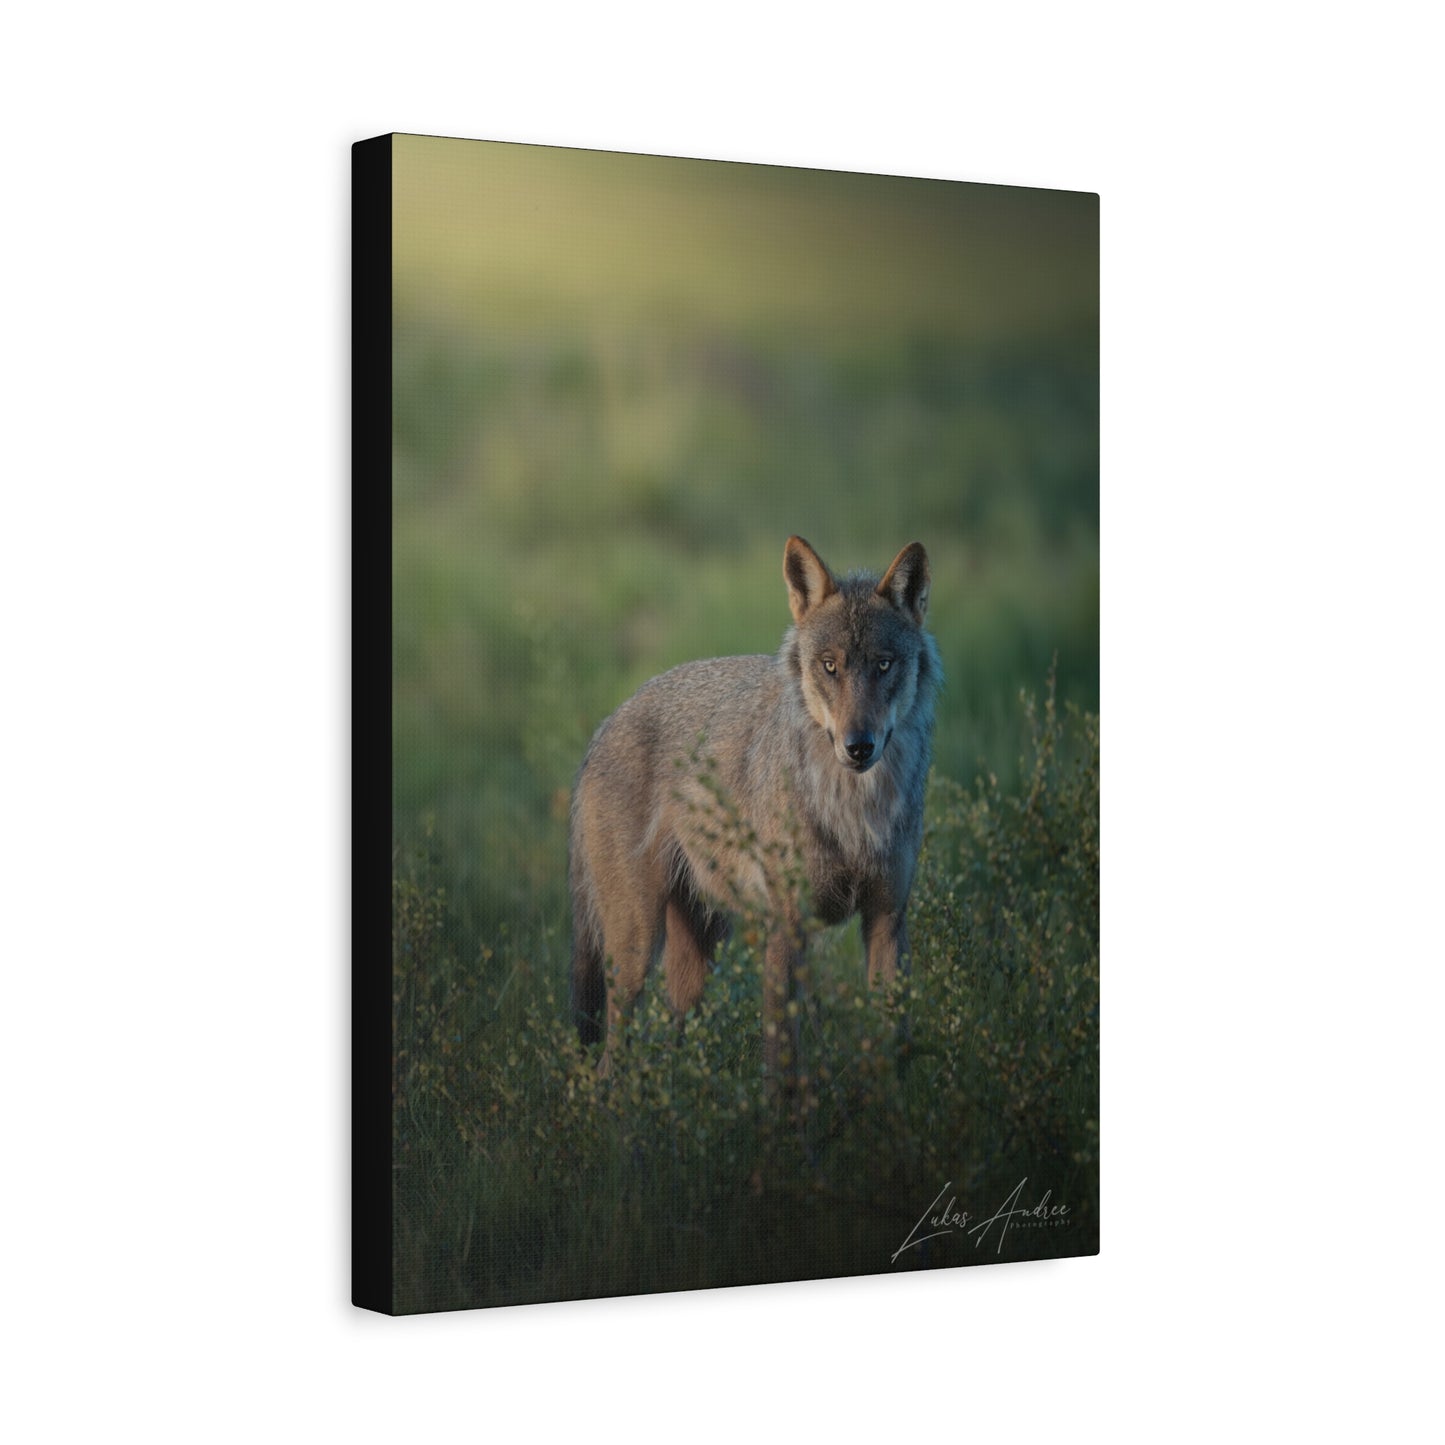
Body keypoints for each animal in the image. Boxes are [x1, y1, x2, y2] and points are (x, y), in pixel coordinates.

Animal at [569, 535, 941, 1085]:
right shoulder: (785, 929)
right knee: (607, 1065)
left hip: (697, 963)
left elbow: (891, 1051)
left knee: (668, 1050)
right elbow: (782, 1067)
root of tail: (604, 725)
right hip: (635, 952)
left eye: (883, 665)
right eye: (829, 666)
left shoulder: (887, 921)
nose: (859, 746)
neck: (854, 810)